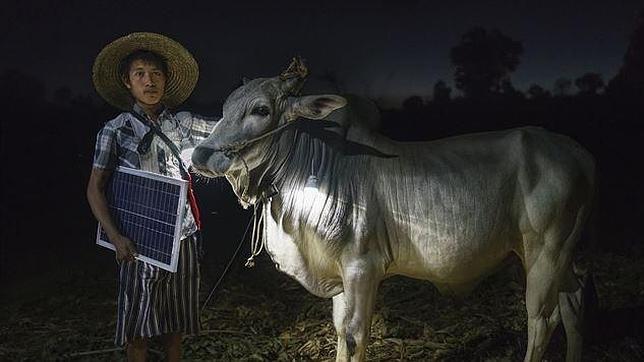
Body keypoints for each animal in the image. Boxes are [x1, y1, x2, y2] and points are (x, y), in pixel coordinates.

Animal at [194, 60, 596, 360]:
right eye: (225, 108)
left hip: (545, 251)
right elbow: (339, 333)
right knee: (574, 300)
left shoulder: (362, 268)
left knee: (542, 320)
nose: (200, 155)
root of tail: (579, 153)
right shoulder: (339, 274)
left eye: (261, 110)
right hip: (546, 254)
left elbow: (355, 336)